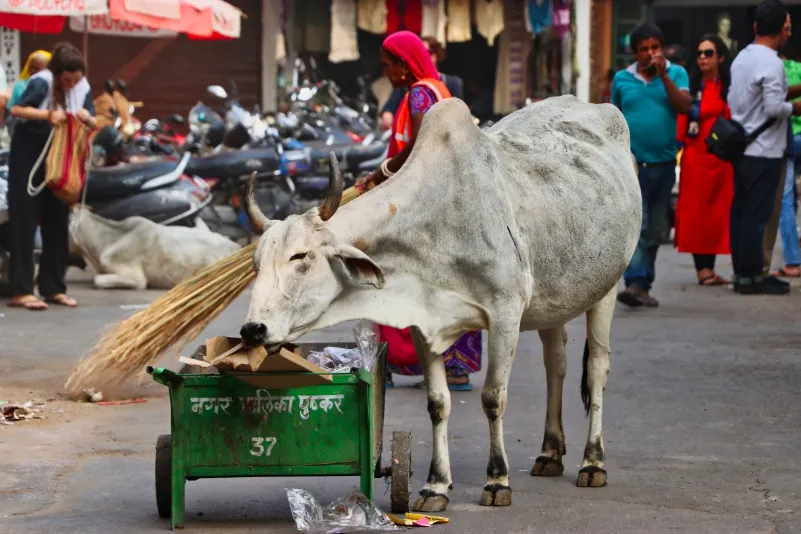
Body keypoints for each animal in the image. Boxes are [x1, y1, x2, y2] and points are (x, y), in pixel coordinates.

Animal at [239, 95, 642, 511]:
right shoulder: (423, 321)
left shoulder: (505, 314)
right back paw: (550, 453)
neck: (435, 221)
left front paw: (497, 480)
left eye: (300, 256)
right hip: (553, 299)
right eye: (255, 263)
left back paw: (592, 462)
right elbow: (437, 402)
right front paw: (435, 485)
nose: (253, 330)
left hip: (606, 287)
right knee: (556, 365)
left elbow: (493, 397)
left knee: (595, 368)